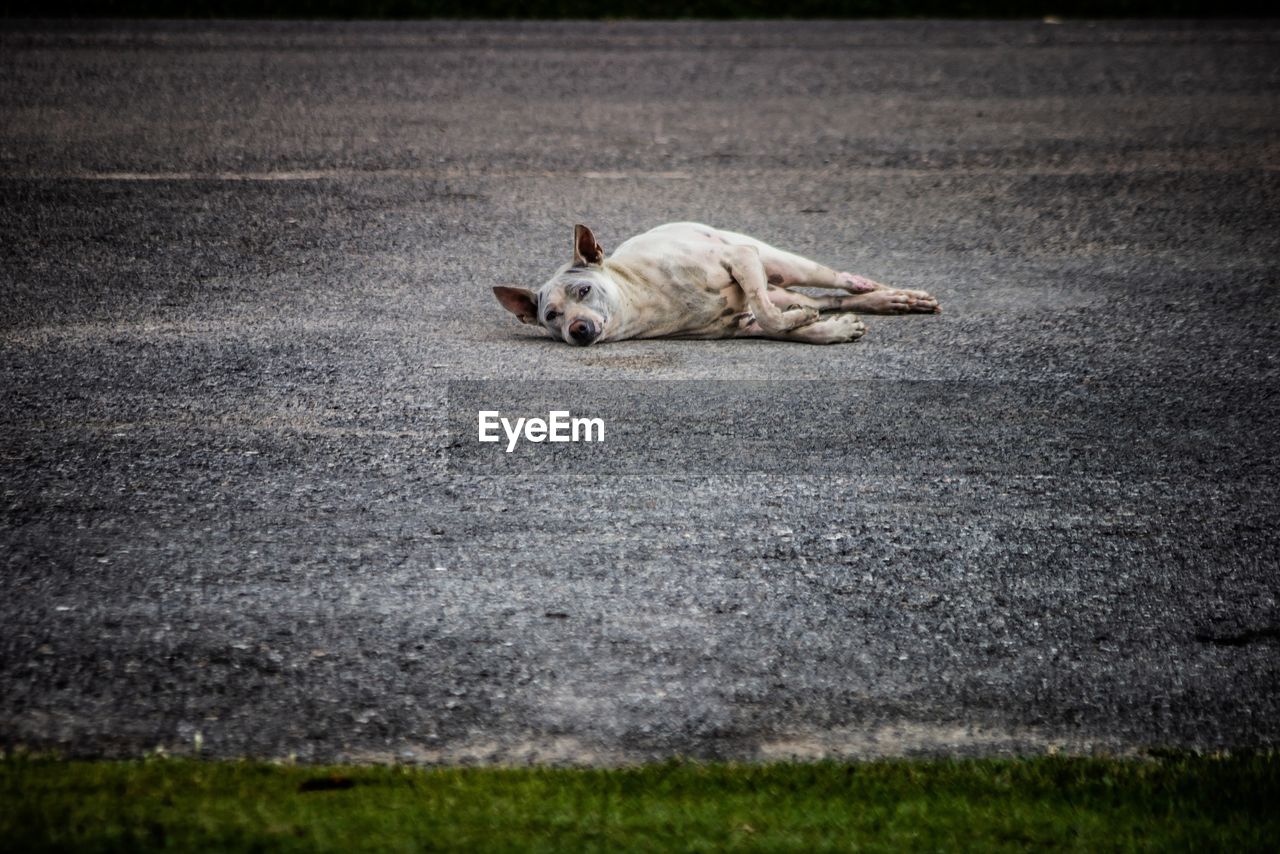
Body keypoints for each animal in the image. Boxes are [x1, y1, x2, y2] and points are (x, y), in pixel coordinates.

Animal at [494, 225, 947, 348]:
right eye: (551, 315)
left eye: (584, 292)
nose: (579, 330)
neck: (645, 302)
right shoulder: (741, 325)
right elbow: (789, 326)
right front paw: (829, 329)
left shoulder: (741, 259)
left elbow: (769, 312)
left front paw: (807, 320)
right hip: (782, 283)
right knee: (829, 300)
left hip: (782, 265)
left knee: (842, 282)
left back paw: (894, 295)